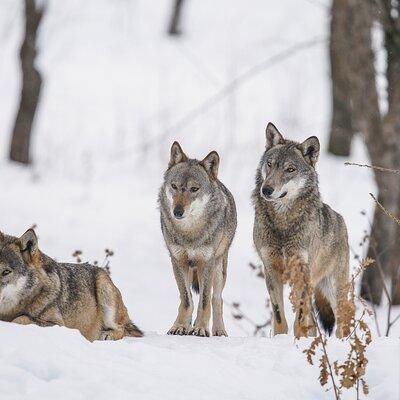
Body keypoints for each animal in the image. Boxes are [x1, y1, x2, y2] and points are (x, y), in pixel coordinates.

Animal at [0, 230, 143, 342]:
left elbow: (20, 319)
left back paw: (105, 335)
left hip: (104, 291)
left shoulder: (58, 325)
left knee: (121, 329)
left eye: (6, 272)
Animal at [158, 142, 236, 336]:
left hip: (218, 267)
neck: (190, 233)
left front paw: (200, 327)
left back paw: (218, 331)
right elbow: (186, 299)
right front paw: (180, 325)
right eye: (174, 186)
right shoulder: (178, 260)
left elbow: (205, 301)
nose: (177, 211)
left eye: (194, 189)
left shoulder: (206, 262)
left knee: (217, 299)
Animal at [253, 122, 350, 338]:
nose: (266, 190)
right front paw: (280, 339)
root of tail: (340, 219)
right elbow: (279, 317)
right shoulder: (270, 271)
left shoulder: (301, 273)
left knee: (342, 325)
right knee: (312, 322)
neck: (283, 222)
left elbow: (299, 317)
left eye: (290, 169)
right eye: (270, 164)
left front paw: (298, 340)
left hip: (334, 291)